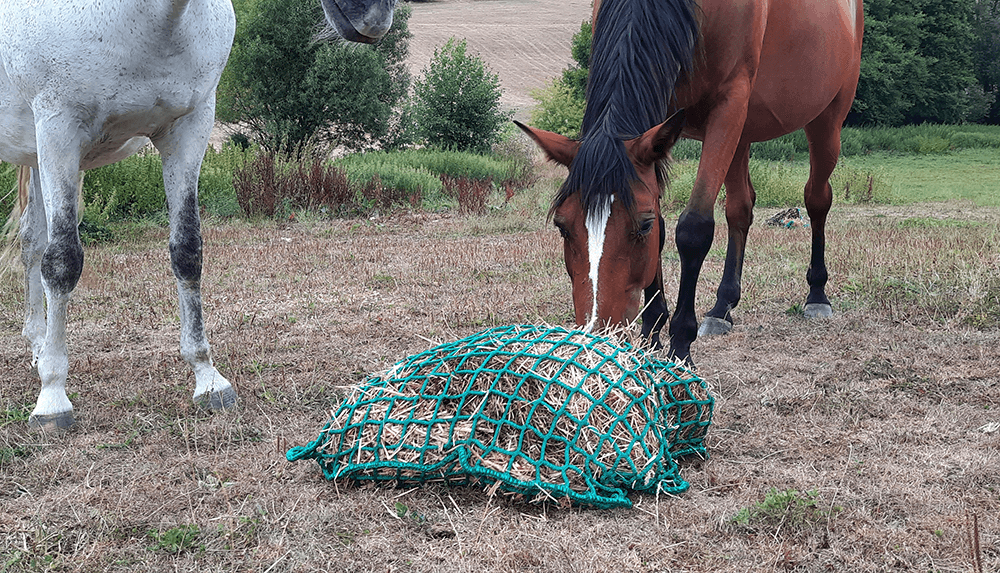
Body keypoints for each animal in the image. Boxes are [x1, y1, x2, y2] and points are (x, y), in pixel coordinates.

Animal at [0, 0, 398, 428]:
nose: (374, 15)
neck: (145, 20)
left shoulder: (188, 128)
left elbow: (187, 252)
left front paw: (208, 379)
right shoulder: (59, 130)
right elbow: (63, 262)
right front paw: (52, 399)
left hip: (37, 157)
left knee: (31, 241)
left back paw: (38, 346)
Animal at [520, 0, 864, 364]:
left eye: (641, 225)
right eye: (562, 226)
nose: (598, 334)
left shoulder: (728, 105)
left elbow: (693, 228)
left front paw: (681, 344)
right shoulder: (662, 115)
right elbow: (664, 228)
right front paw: (652, 331)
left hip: (825, 121)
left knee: (817, 198)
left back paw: (817, 294)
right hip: (742, 133)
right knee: (741, 209)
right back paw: (722, 307)